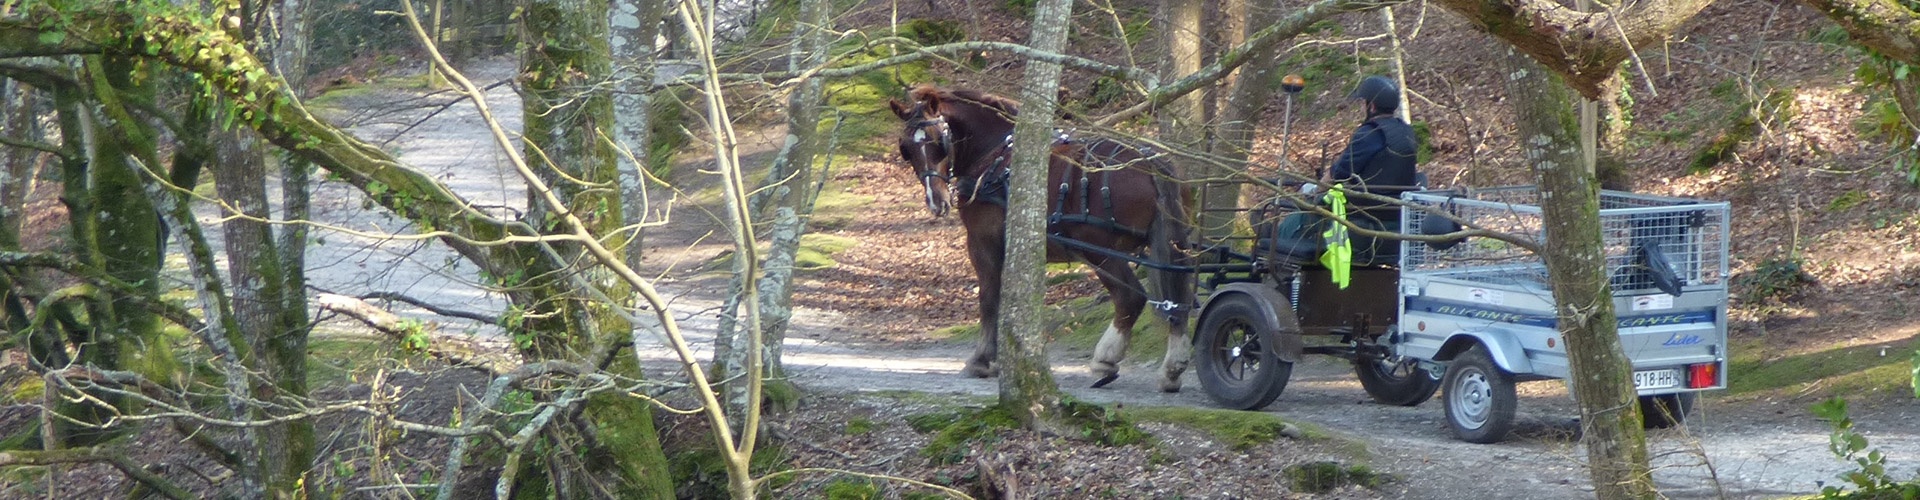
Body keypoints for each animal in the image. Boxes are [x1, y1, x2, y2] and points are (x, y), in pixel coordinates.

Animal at [887, 85, 1190, 390]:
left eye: (940, 141)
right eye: (906, 150)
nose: (936, 201)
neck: (994, 156)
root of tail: (1151, 164)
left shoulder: (983, 241)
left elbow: (989, 298)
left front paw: (982, 360)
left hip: (1100, 251)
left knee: (1130, 297)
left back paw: (1105, 361)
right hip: (1171, 246)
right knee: (1179, 298)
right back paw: (1172, 368)